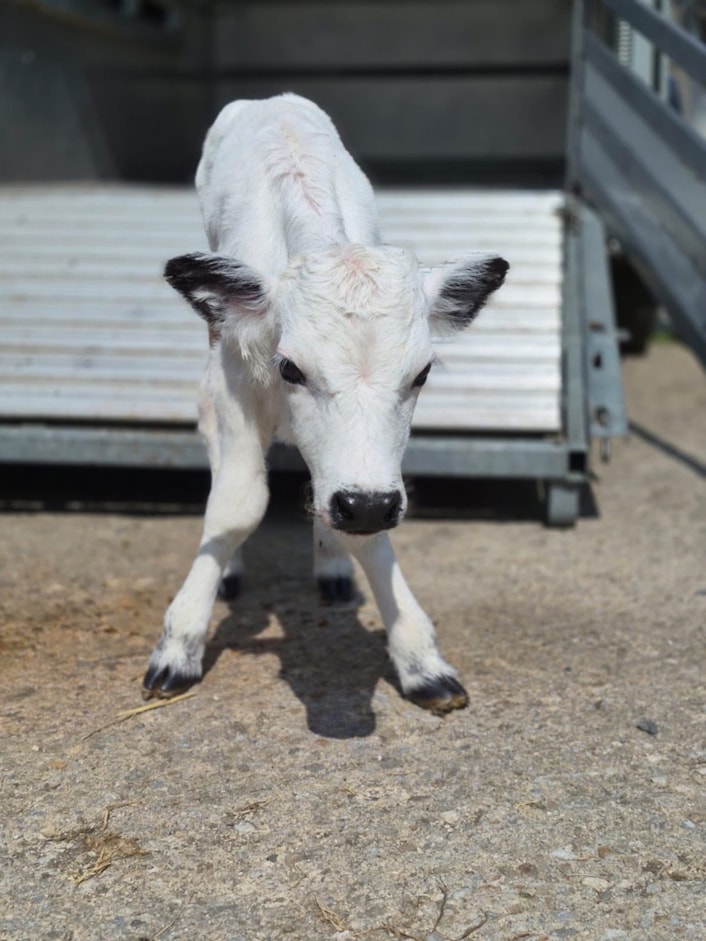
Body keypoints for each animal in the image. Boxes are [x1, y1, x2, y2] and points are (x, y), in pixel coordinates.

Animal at [142, 94, 508, 714]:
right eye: (290, 367)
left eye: (422, 373)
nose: (364, 504)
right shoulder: (232, 381)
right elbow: (237, 505)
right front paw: (181, 641)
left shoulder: (370, 477)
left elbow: (369, 531)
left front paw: (418, 656)